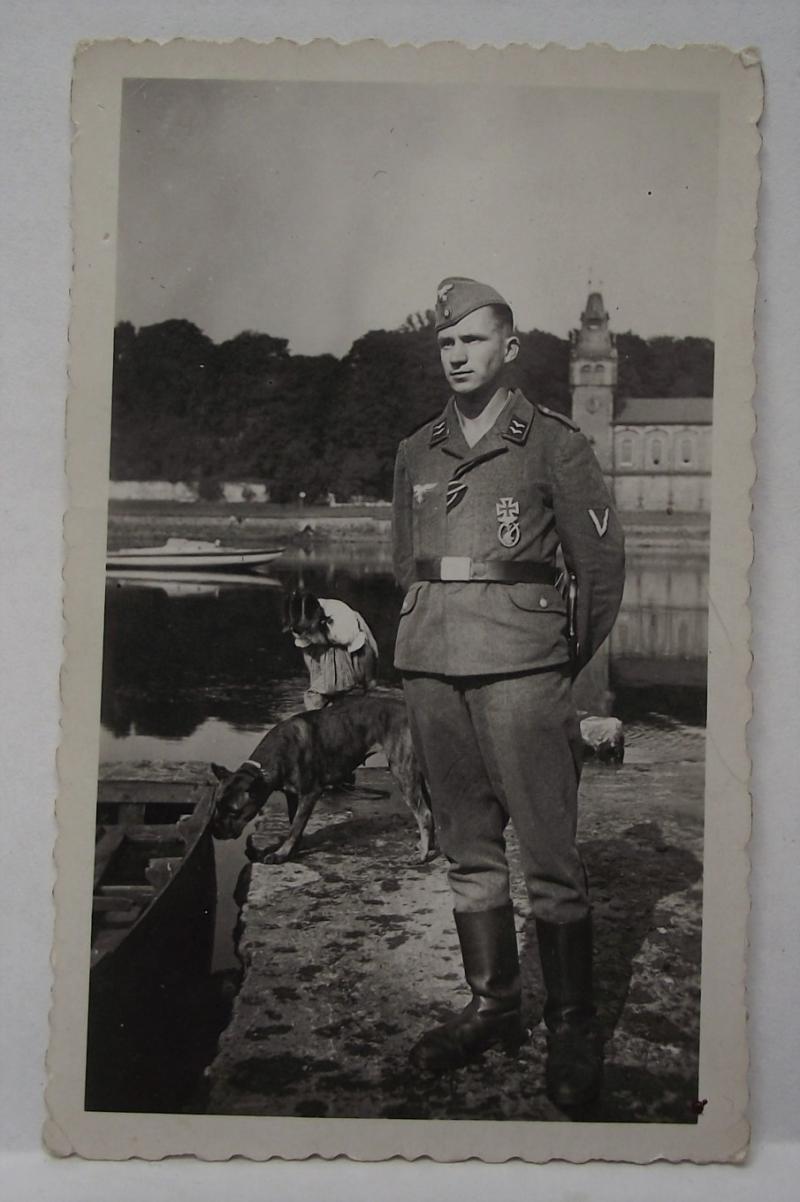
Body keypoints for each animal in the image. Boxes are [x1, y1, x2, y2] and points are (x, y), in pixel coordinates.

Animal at [211, 697, 432, 865]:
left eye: (234, 811)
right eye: (217, 806)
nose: (215, 831)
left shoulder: (310, 793)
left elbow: (295, 826)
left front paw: (282, 853)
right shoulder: (293, 795)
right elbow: (294, 823)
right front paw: (294, 848)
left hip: (403, 773)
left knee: (424, 814)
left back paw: (422, 855)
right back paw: (426, 847)